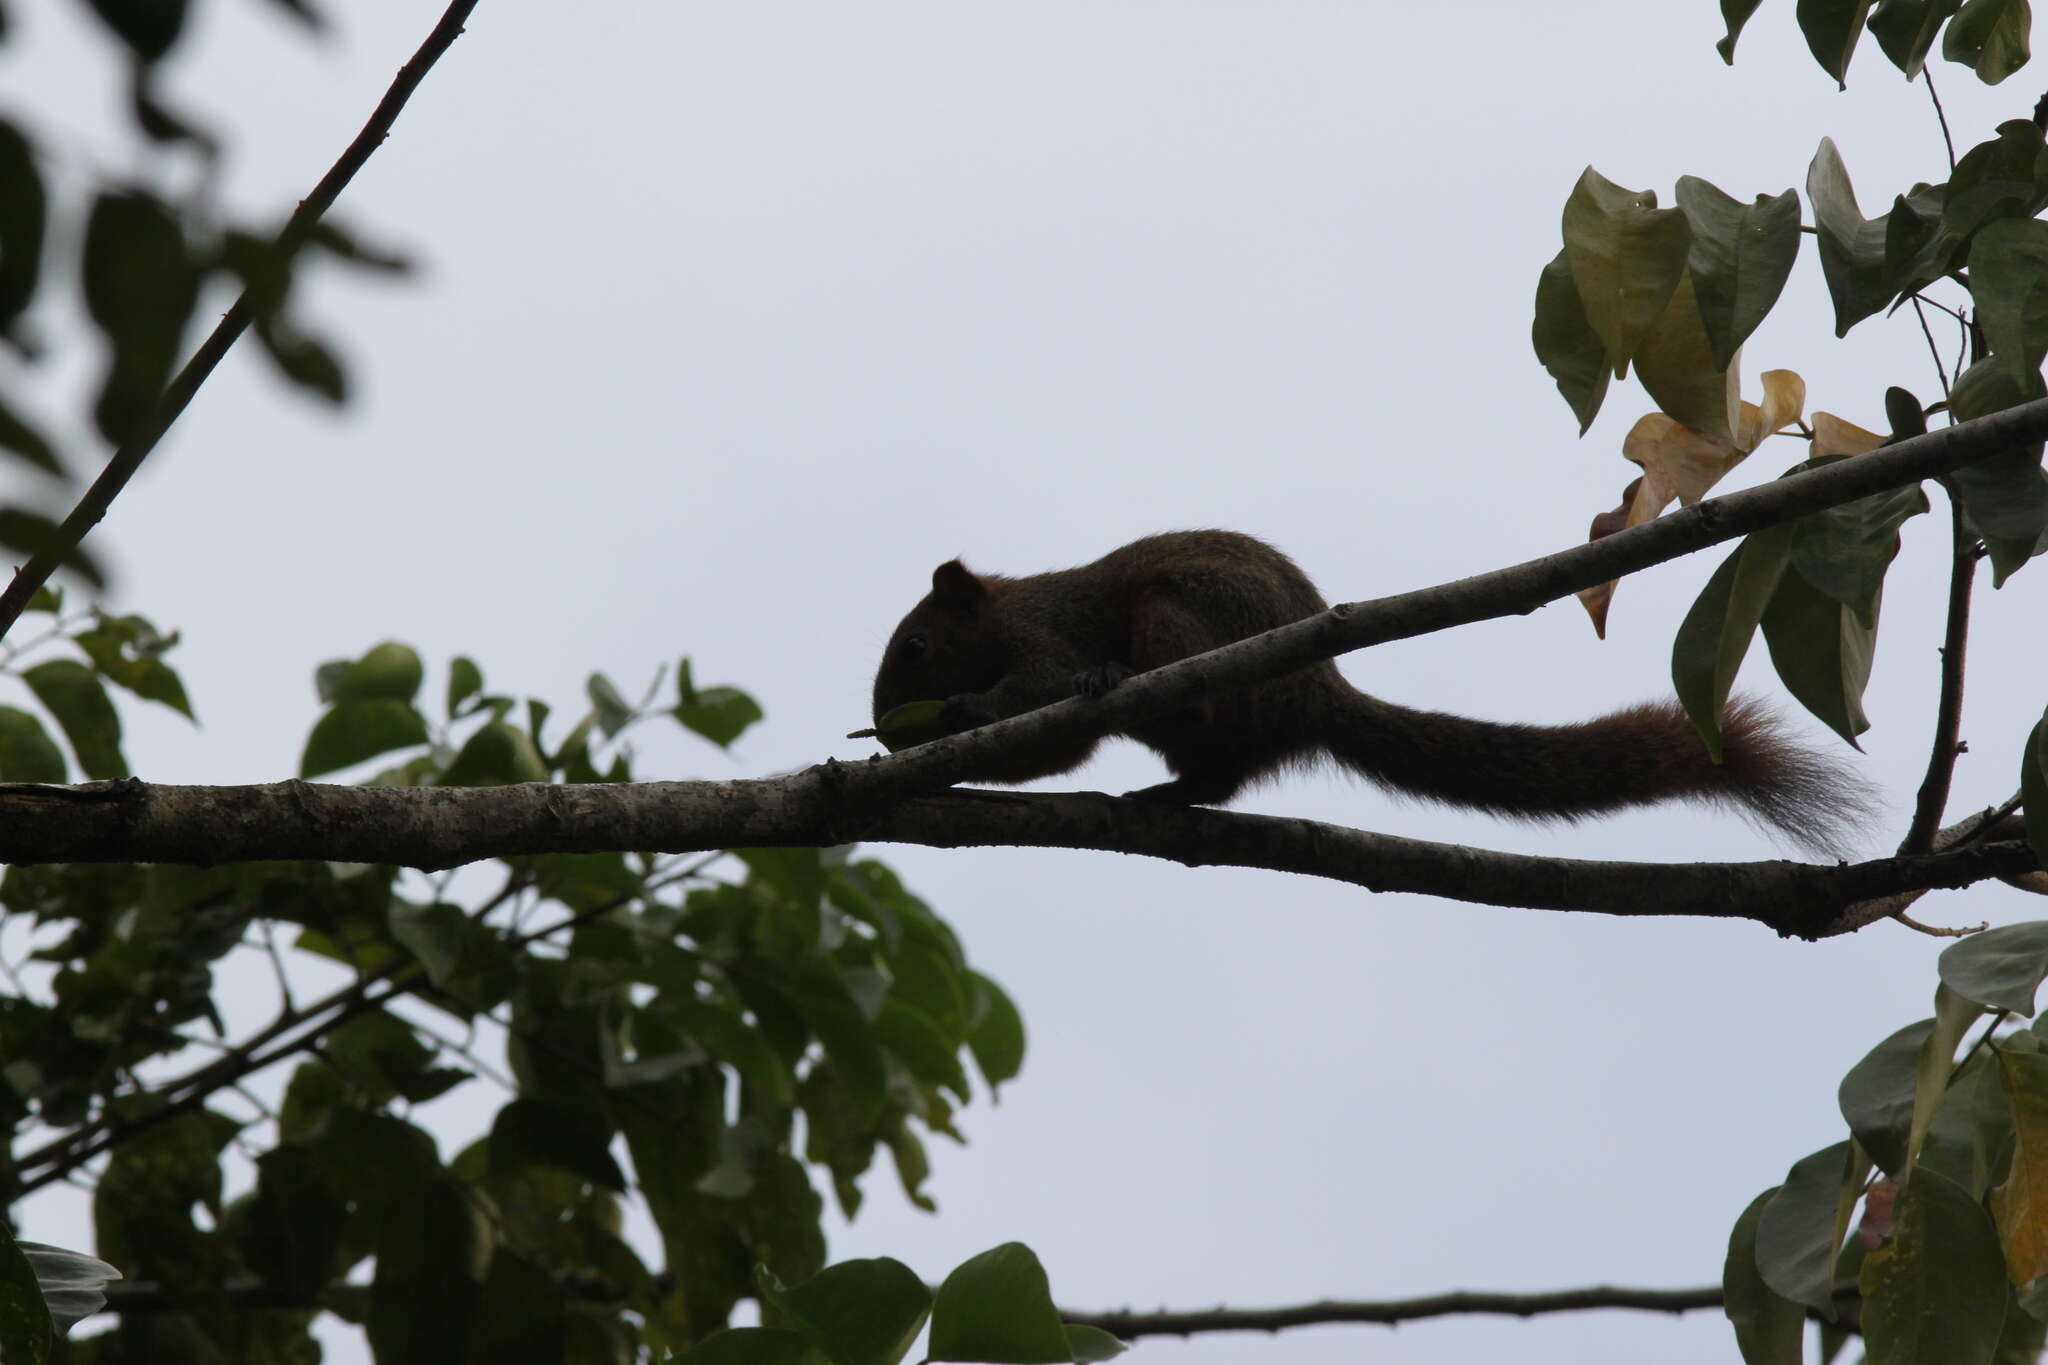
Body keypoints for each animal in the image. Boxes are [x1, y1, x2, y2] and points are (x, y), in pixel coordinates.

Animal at [868, 527, 1875, 847]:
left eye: (914, 647)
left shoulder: (1046, 632)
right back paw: (1163, 795)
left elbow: (1039, 703)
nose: (882, 727)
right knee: (1219, 777)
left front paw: (958, 714)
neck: (1002, 611)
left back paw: (1128, 682)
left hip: (1187, 611)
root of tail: (1320, 691)